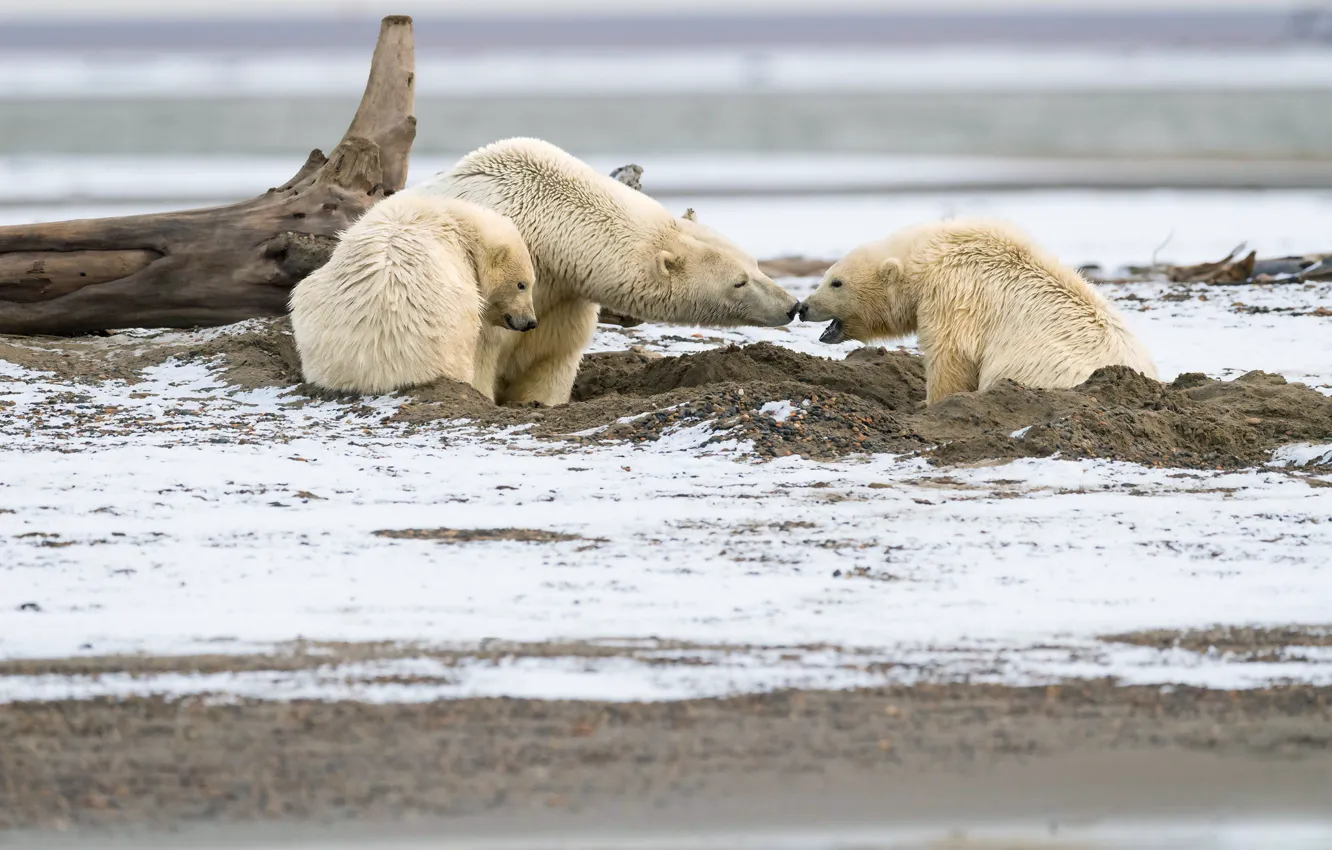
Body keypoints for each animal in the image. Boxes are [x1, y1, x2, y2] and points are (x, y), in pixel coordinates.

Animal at [405, 137, 800, 406]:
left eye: (755, 263)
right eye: (739, 282)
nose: (792, 306)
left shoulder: (564, 297)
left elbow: (551, 359)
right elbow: (479, 355)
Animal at [799, 217, 1159, 406]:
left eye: (835, 282)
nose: (803, 307)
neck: (929, 258)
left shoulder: (953, 294)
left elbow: (951, 354)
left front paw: (929, 403)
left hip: (1042, 368)